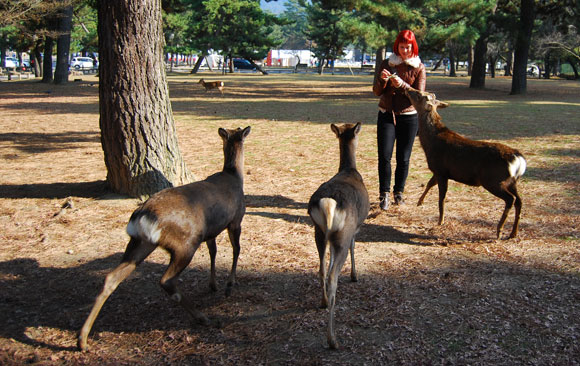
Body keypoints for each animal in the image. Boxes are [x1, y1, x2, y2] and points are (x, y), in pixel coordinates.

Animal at [77, 126, 249, 352]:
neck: (233, 175)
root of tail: (142, 216)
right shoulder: (236, 219)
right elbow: (236, 249)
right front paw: (230, 283)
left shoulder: (211, 230)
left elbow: (213, 252)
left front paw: (213, 285)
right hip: (185, 243)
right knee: (166, 281)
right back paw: (203, 318)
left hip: (140, 243)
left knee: (111, 277)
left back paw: (82, 339)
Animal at [306, 123, 370, 348]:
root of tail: (328, 203)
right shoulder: (356, 228)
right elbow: (354, 246)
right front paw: (355, 275)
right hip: (343, 232)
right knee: (333, 276)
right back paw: (332, 339)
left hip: (319, 231)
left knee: (322, 269)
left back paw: (323, 302)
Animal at [404, 87, 524, 239]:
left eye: (419, 95)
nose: (408, 89)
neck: (430, 143)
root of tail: (518, 160)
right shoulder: (438, 170)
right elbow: (429, 184)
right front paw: (420, 202)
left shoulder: (441, 170)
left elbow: (441, 197)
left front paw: (440, 221)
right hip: (512, 181)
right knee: (519, 201)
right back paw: (513, 233)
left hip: (493, 180)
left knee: (510, 199)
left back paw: (499, 230)